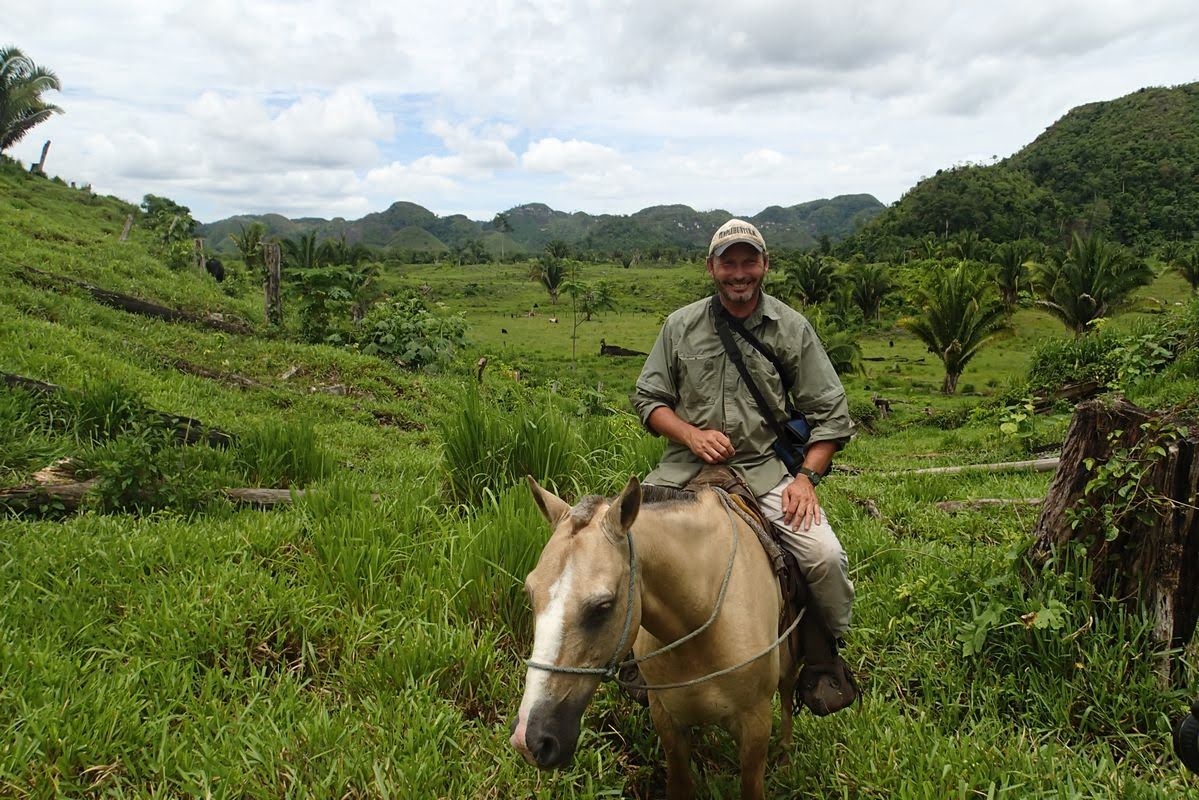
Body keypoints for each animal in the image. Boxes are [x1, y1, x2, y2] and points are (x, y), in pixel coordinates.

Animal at [505, 474, 796, 800]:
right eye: (531, 594)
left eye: (603, 607)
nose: (529, 740)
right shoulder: (666, 720)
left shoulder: (756, 727)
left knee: (788, 692)